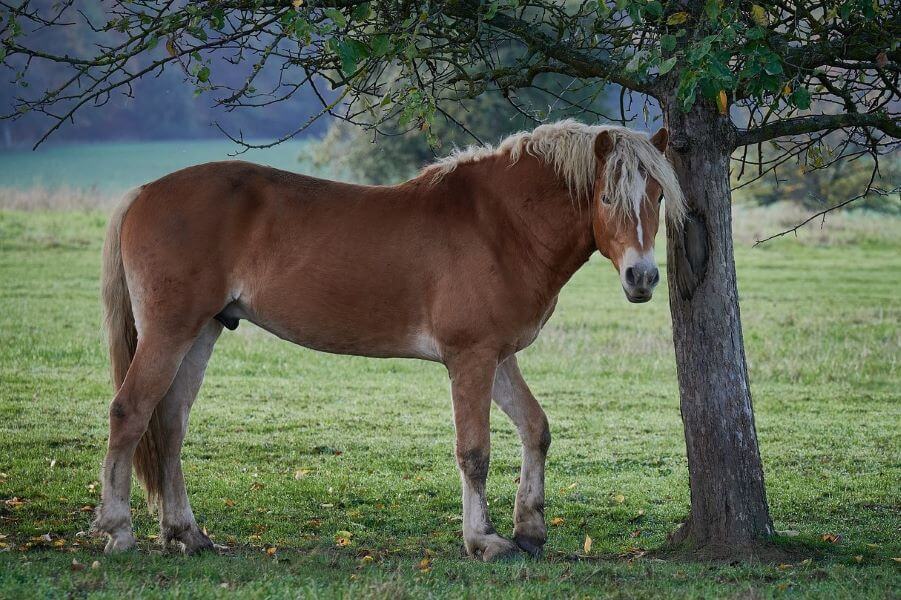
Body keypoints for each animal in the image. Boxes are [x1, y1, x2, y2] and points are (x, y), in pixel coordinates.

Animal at [93, 119, 684, 560]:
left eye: (656, 195)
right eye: (606, 196)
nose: (643, 277)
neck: (500, 226)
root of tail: (143, 192)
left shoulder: (497, 357)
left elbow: (536, 428)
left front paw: (529, 530)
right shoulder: (470, 358)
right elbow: (474, 452)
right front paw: (483, 540)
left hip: (203, 331)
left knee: (170, 425)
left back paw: (187, 533)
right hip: (170, 332)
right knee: (130, 411)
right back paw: (118, 530)